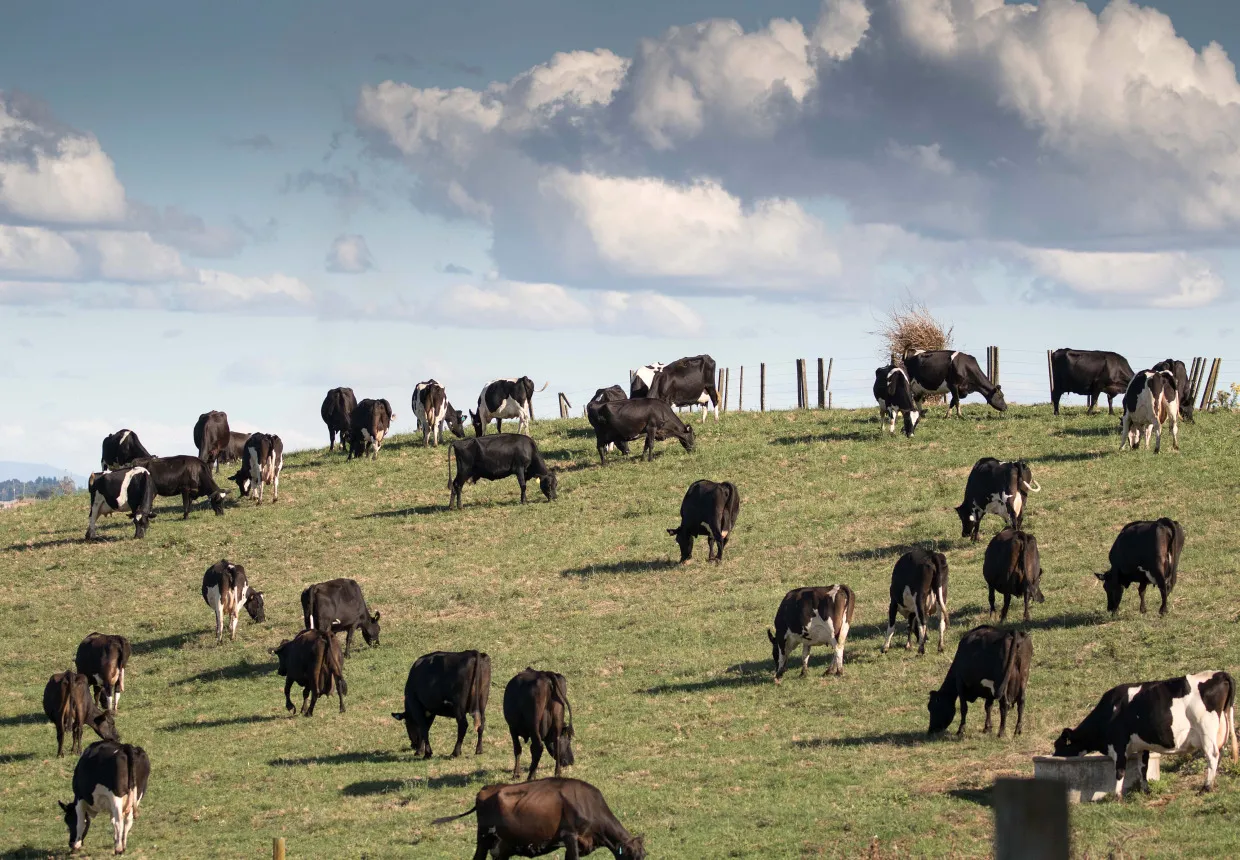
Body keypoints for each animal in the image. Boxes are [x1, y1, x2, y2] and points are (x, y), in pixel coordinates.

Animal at [433, 778, 646, 860]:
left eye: (644, 855)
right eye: (633, 856)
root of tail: (486, 789)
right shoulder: (570, 836)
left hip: (501, 845)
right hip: (484, 838)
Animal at [1053, 672, 1238, 798]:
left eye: (1059, 745)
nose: (1054, 756)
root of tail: (1219, 673)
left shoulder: (1119, 745)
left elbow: (1120, 771)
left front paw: (1117, 796)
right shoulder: (1142, 746)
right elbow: (1143, 768)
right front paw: (1146, 791)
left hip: (1206, 730)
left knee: (1212, 756)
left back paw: (1206, 787)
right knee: (1219, 754)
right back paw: (1212, 784)